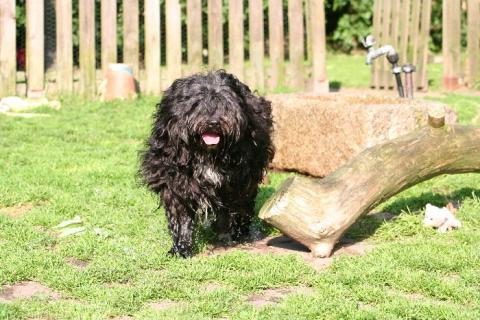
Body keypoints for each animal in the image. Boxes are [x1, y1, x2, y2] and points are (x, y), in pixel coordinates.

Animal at [140, 70, 274, 258]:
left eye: (225, 105)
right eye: (196, 104)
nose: (213, 122)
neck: (207, 153)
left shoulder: (238, 181)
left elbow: (230, 208)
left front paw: (225, 230)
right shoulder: (175, 181)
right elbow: (180, 217)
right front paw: (181, 248)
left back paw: (241, 233)